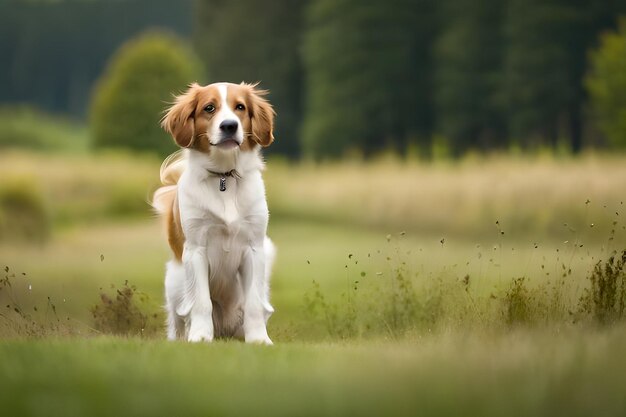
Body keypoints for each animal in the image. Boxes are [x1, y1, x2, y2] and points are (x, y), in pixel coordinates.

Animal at [150, 82, 274, 344]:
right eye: (209, 108)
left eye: (240, 107)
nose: (229, 125)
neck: (224, 178)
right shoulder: (196, 249)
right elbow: (201, 301)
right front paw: (200, 336)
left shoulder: (254, 249)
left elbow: (254, 303)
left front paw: (259, 339)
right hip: (174, 283)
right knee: (177, 321)